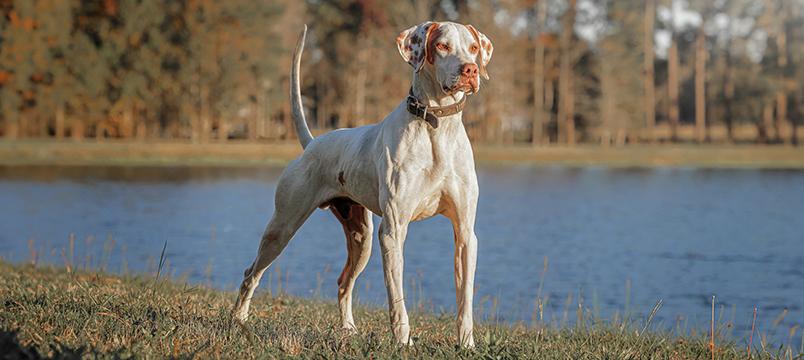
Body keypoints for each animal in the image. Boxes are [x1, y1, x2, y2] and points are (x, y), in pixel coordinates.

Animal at [232, 21, 494, 348]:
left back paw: (347, 329)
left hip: (362, 238)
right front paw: (403, 342)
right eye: (442, 46)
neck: (437, 127)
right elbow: (397, 299)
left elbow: (464, 299)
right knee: (251, 273)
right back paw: (238, 319)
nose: (471, 69)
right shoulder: (393, 232)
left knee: (344, 283)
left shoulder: (465, 234)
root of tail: (312, 143)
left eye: (473, 47)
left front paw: (467, 343)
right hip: (282, 228)